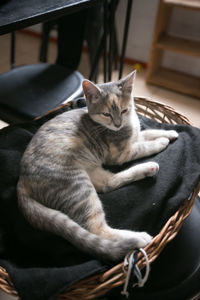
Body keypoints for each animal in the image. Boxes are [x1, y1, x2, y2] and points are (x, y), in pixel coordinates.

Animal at [17, 71, 178, 262]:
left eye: (124, 110)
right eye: (106, 114)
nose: (117, 124)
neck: (127, 125)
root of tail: (21, 180)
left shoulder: (134, 136)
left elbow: (147, 133)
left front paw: (170, 132)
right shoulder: (121, 153)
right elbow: (143, 146)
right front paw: (161, 142)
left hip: (91, 172)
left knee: (109, 183)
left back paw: (148, 168)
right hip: (77, 185)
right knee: (97, 229)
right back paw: (139, 238)